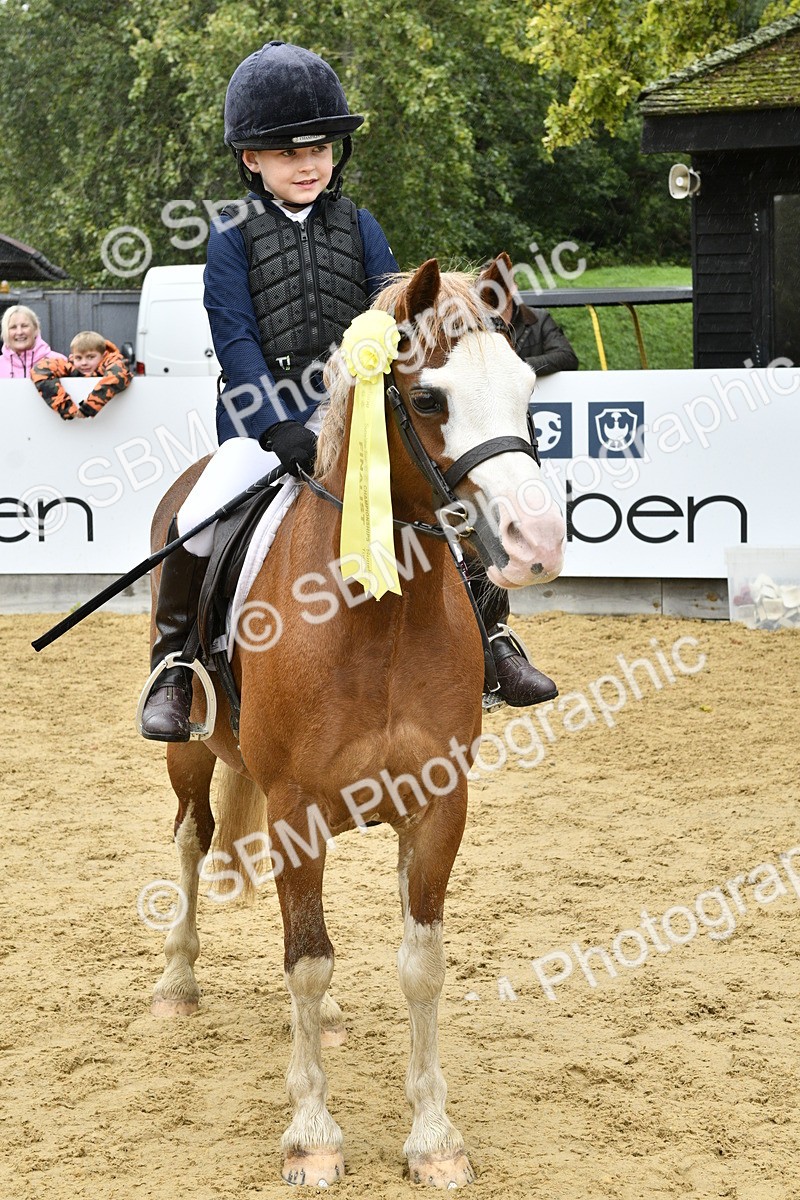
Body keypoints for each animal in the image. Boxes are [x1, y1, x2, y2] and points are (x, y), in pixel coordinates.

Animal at [147, 254, 566, 1188]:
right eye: (430, 399)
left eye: (528, 389)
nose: (537, 542)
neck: (377, 619)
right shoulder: (294, 808)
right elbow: (304, 960)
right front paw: (312, 1133)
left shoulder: (439, 806)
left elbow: (419, 966)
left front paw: (435, 1138)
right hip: (192, 755)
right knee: (192, 839)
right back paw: (178, 982)